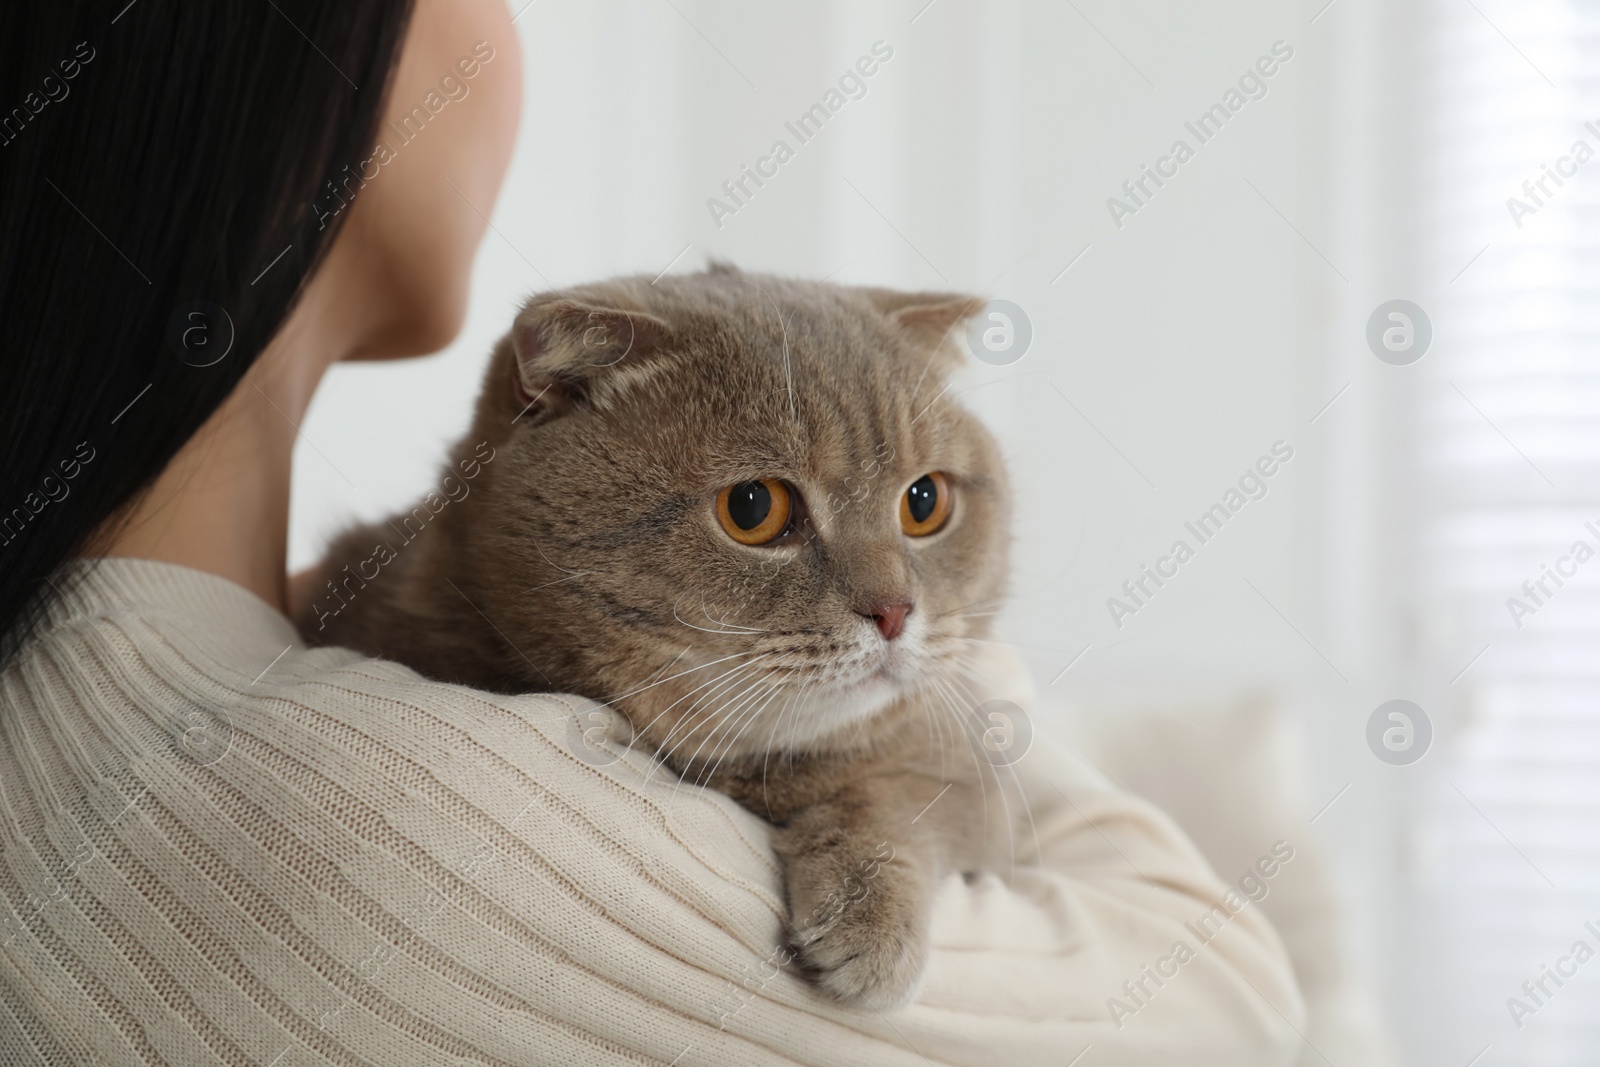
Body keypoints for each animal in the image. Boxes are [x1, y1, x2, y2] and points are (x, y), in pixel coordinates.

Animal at [296, 267, 1017, 1011]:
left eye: (924, 502)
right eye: (753, 507)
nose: (895, 610)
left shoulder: (976, 781)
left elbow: (902, 794)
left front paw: (871, 908)